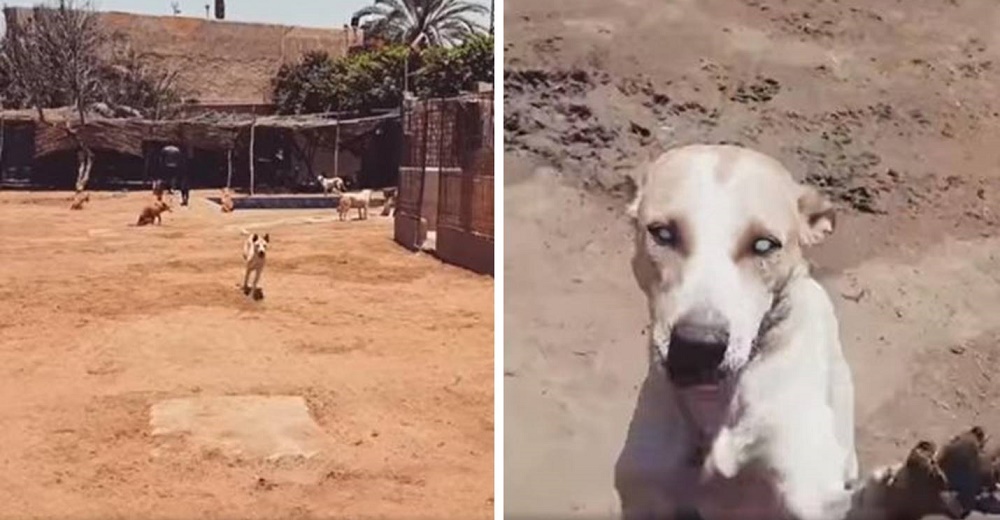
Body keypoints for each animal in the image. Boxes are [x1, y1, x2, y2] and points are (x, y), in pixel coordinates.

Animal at [608, 145, 916, 520]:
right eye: (663, 233)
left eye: (764, 245)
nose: (698, 347)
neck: (717, 406)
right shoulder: (645, 497)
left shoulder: (809, 496)